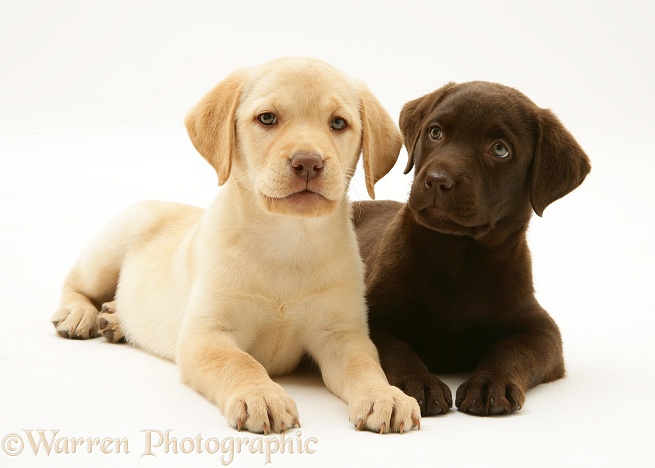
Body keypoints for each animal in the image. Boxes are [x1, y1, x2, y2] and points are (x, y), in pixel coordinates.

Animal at [51, 58, 420, 436]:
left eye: (338, 123)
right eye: (267, 118)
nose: (308, 163)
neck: (287, 241)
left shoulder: (343, 334)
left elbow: (366, 366)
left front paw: (383, 395)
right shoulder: (206, 335)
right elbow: (239, 362)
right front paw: (260, 395)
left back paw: (115, 319)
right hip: (112, 246)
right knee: (75, 282)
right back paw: (80, 314)